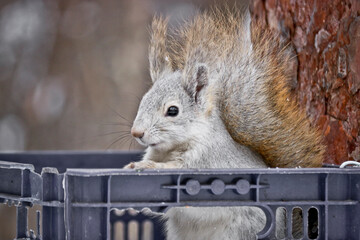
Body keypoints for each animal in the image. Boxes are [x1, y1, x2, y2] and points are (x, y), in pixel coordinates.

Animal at [124, 6, 320, 239]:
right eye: (144, 100)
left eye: (172, 110)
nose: (137, 133)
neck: (172, 147)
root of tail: (282, 232)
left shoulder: (205, 162)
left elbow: (175, 171)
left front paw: (146, 166)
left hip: (241, 230)